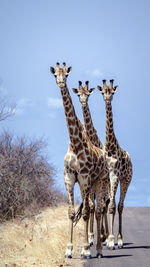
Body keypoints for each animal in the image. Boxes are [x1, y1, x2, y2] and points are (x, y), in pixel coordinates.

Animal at [50, 62, 108, 260]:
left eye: (66, 74)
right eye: (55, 75)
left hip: (100, 181)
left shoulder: (84, 178)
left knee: (96, 209)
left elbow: (84, 212)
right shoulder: (69, 177)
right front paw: (68, 250)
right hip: (91, 184)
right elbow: (71, 212)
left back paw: (98, 249)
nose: (61, 82)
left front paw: (85, 250)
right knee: (92, 208)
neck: (75, 144)